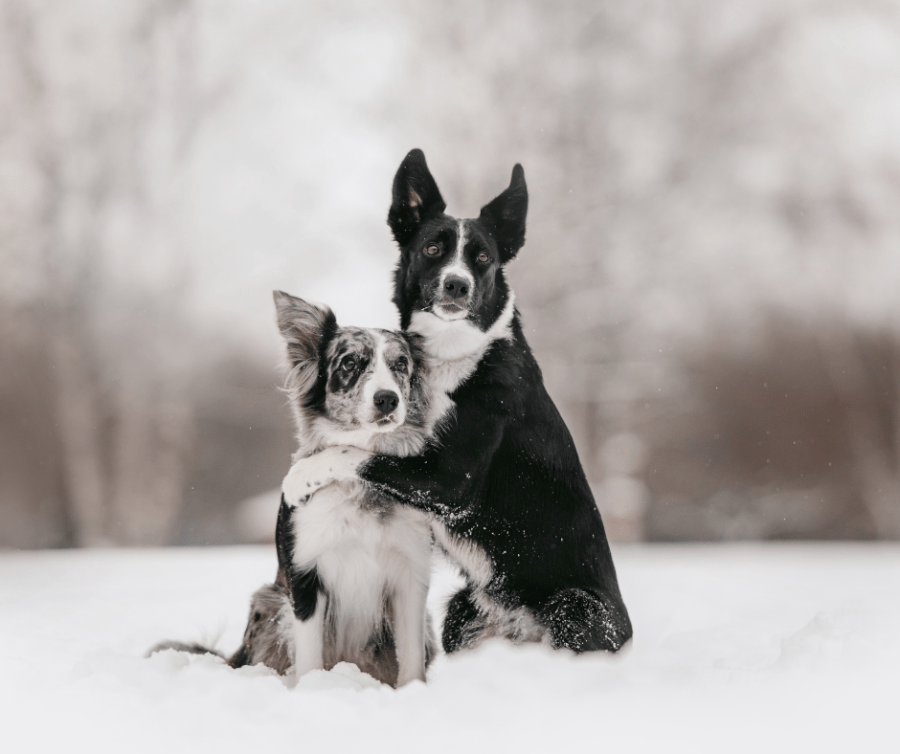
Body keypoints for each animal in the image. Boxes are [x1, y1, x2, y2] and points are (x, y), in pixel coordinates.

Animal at [150, 290, 436, 688]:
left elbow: (411, 662)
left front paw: (413, 693)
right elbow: (310, 656)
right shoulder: (305, 573)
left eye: (401, 365)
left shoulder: (410, 574)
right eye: (350, 363)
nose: (387, 399)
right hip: (268, 600)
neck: (359, 486)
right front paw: (313, 690)